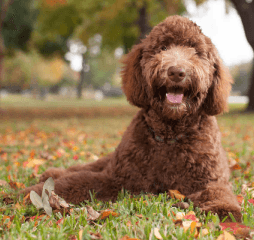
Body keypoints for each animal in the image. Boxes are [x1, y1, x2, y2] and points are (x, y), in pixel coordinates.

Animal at [22, 15, 241, 221]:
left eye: (195, 51)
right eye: (162, 48)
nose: (176, 72)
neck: (169, 136)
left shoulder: (209, 179)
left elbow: (218, 191)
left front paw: (224, 209)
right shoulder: (117, 178)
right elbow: (75, 181)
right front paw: (31, 193)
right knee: (85, 167)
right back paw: (52, 173)